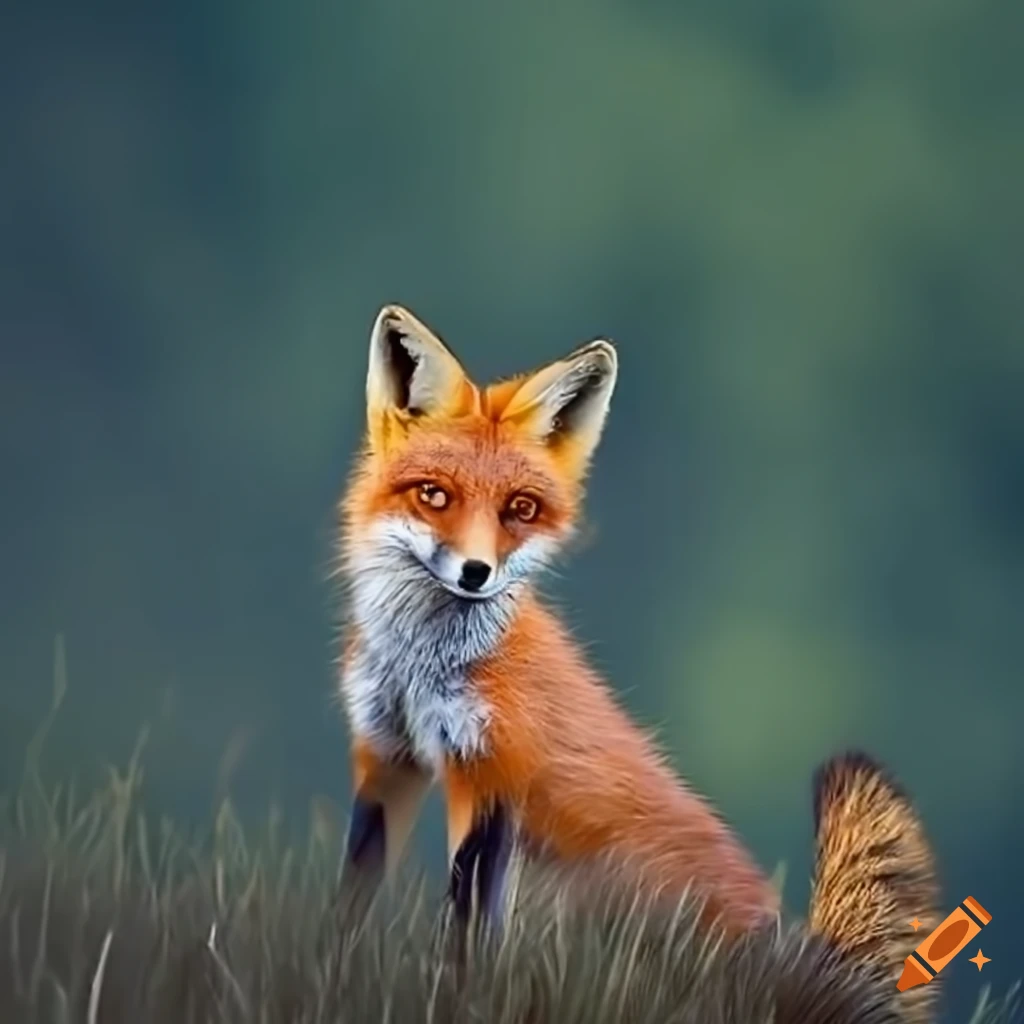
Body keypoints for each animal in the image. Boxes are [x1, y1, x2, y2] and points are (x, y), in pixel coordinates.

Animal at [334, 304, 939, 1004]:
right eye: (434, 496)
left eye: (520, 509)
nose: (476, 574)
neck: (422, 666)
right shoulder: (388, 755)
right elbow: (351, 900)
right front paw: (339, 970)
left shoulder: (491, 773)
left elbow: (465, 932)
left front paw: (456, 995)